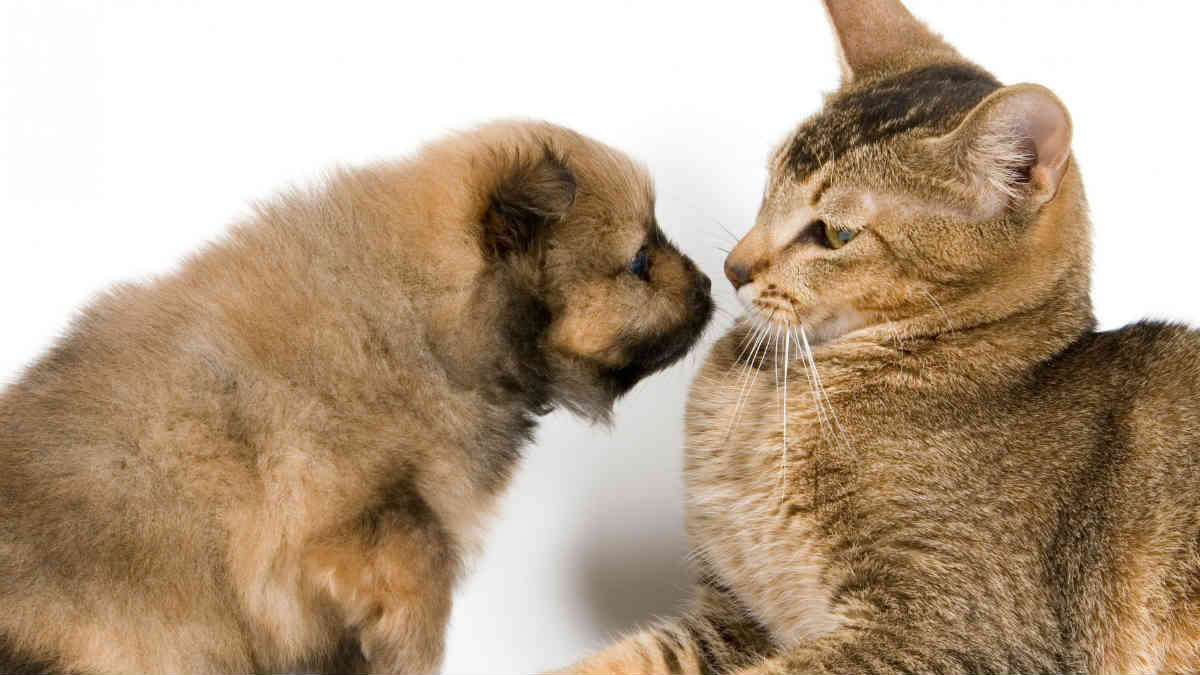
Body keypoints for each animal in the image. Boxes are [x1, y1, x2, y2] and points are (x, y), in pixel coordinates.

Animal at [0, 121, 710, 672]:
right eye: (640, 261)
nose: (706, 282)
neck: (423, 322)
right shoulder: (345, 516)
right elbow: (419, 570)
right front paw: (408, 651)